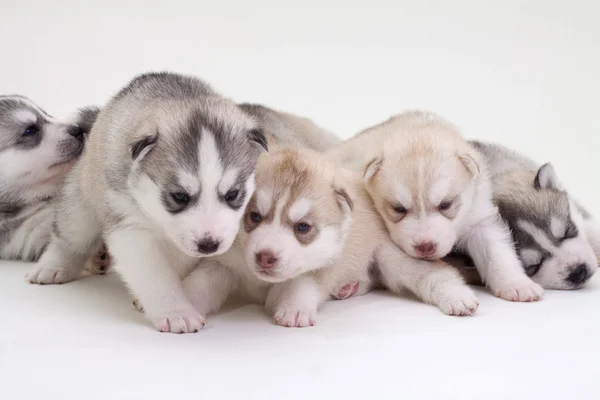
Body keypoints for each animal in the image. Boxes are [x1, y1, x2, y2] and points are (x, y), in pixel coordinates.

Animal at [25, 70, 276, 332]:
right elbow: (155, 276)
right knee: (71, 239)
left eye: (233, 194)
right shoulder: (129, 227)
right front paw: (176, 312)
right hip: (80, 203)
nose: (209, 245)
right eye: (179, 196)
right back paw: (52, 267)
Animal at [183, 148, 478, 328]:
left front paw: (293, 308)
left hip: (392, 254)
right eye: (254, 216)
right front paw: (182, 305)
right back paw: (348, 288)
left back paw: (458, 297)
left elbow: (301, 283)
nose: (265, 257)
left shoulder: (324, 265)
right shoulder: (223, 262)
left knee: (434, 275)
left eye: (303, 227)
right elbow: (200, 283)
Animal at [326, 111, 548, 302]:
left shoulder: (479, 216)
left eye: (445, 204)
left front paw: (517, 284)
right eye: (399, 209)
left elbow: (496, 253)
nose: (425, 246)